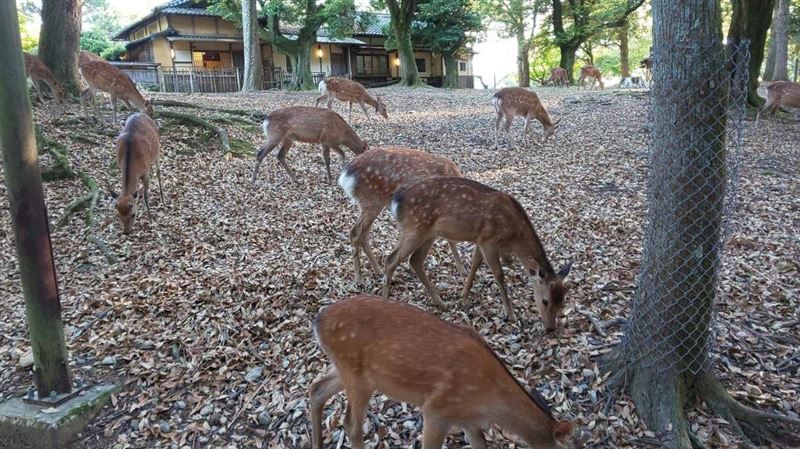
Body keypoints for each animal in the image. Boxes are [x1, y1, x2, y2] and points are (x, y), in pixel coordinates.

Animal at [310, 295, 586, 449]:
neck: (489, 402)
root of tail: (318, 321)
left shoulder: (469, 422)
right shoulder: (437, 409)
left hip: (345, 368)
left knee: (316, 389)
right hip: (358, 377)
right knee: (351, 425)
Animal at [339, 146, 467, 284]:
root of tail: (345, 175)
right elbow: (450, 240)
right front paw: (462, 269)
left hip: (368, 202)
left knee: (364, 234)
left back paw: (378, 271)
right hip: (372, 199)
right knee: (355, 233)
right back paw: (359, 278)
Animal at [383, 177, 572, 327]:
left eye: (562, 302)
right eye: (545, 301)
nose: (551, 328)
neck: (513, 235)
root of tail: (397, 201)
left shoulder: (481, 240)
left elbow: (474, 265)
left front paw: (463, 298)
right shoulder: (489, 241)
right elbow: (499, 274)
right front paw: (510, 314)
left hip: (428, 233)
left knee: (415, 260)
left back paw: (440, 302)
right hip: (414, 227)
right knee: (391, 259)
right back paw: (386, 298)